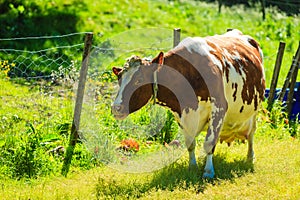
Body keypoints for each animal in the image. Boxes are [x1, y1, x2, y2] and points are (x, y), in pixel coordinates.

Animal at [110, 29, 264, 178]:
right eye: (119, 79)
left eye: (139, 80)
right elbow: (190, 143)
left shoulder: (219, 107)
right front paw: (193, 167)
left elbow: (209, 142)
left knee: (251, 134)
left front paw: (208, 171)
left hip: (255, 111)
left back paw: (250, 157)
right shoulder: (181, 112)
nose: (116, 107)